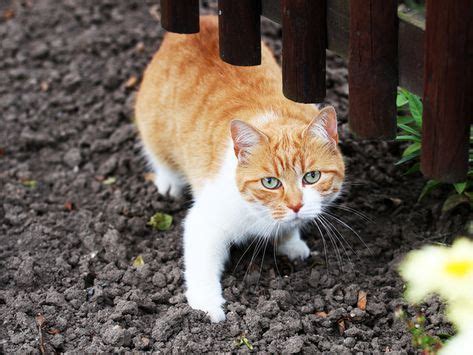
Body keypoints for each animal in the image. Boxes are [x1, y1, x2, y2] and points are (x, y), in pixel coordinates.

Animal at [135, 16, 344, 322]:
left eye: (312, 176)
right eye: (270, 182)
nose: (295, 205)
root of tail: (205, 20)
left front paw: (291, 242)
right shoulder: (204, 223)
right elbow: (202, 269)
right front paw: (207, 308)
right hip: (153, 125)